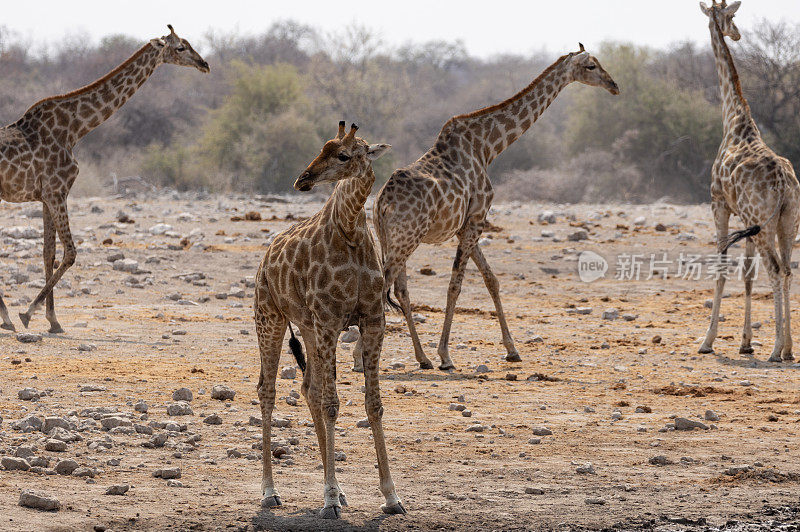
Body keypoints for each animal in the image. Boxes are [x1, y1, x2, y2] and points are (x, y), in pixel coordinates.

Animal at [0, 26, 209, 332]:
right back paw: (7, 318)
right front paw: (28, 313)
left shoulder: (46, 196)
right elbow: (71, 252)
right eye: (180, 47)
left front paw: (53, 320)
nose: (204, 64)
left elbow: (49, 252)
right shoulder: (57, 191)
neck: (75, 129)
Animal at [255, 121, 406, 520]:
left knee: (309, 387)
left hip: (307, 328)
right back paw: (270, 493)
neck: (351, 232)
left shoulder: (370, 319)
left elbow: (373, 404)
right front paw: (328, 499)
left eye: (343, 155)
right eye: (321, 149)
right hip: (270, 318)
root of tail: (265, 259)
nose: (302, 179)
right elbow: (332, 404)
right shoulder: (328, 319)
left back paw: (339, 492)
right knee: (268, 390)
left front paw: (391, 497)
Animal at [354, 44, 620, 370]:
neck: (487, 147)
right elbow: (456, 285)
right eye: (591, 66)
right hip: (407, 238)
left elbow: (491, 279)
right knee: (384, 286)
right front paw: (446, 355)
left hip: (391, 239)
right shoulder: (477, 218)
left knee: (399, 289)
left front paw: (512, 349)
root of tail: (382, 204)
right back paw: (363, 356)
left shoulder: (466, 224)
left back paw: (421, 357)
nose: (614, 85)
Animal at [696, 0, 796, 362]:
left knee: (776, 269)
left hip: (765, 223)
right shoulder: (746, 221)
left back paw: (778, 350)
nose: (737, 34)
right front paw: (745, 343)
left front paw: (708, 341)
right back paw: (787, 349)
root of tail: (783, 183)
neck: (733, 117)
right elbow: (748, 275)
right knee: (787, 269)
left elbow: (723, 267)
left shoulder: (719, 204)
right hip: (786, 221)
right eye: (733, 17)